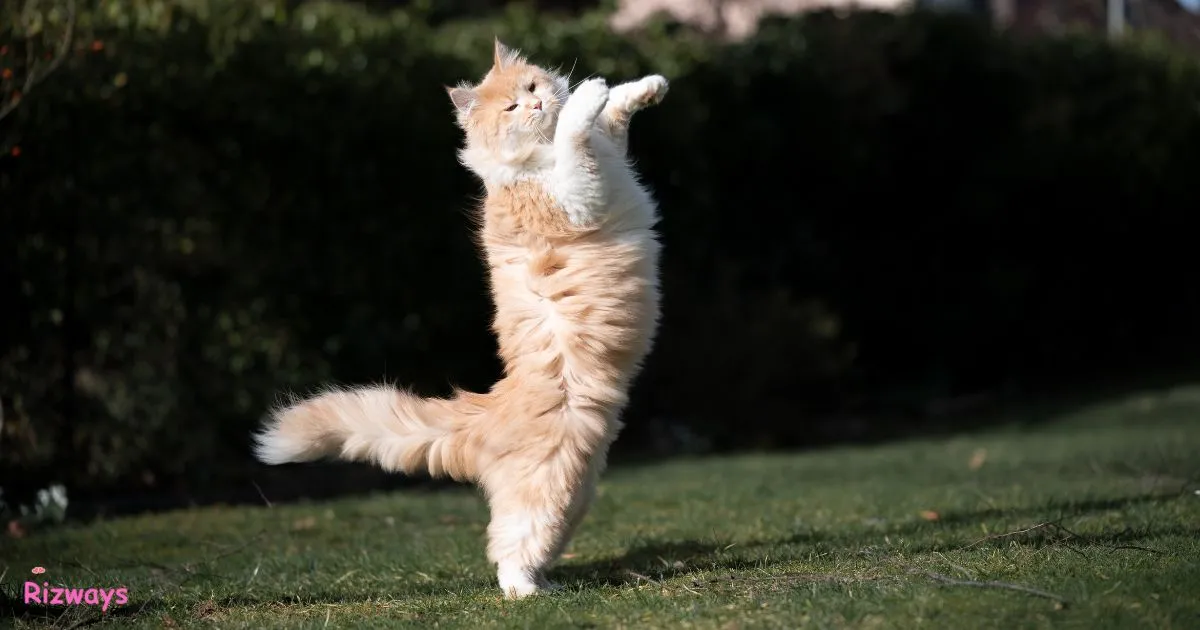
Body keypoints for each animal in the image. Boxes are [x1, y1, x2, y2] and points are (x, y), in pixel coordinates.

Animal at [252, 39, 668, 599]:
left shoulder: (610, 160)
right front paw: (588, 96)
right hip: (546, 491)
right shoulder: (574, 197)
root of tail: (488, 409)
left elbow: (615, 116)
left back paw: (548, 584)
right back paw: (529, 594)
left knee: (529, 545)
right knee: (508, 552)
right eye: (513, 108)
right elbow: (577, 137)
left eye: (532, 87)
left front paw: (644, 87)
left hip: (575, 496)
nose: (537, 104)